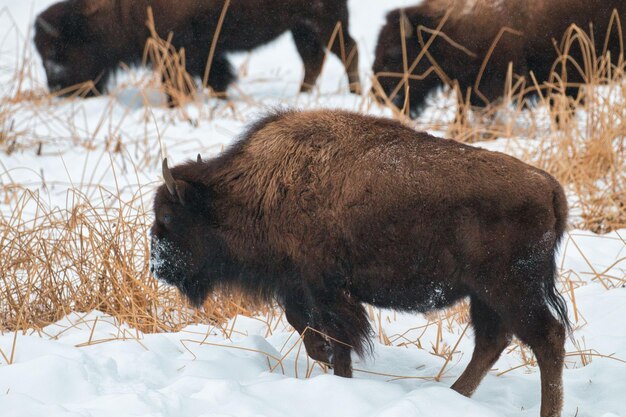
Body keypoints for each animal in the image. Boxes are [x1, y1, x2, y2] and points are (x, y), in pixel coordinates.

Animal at [33, 0, 360, 101]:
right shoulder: (199, 54)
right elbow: (215, 76)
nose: (58, 89)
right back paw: (301, 96)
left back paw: (356, 93)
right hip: (302, 27)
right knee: (314, 59)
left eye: (57, 51)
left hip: (325, 21)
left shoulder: (176, 51)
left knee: (347, 51)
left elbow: (182, 82)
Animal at [152, 109, 572, 416]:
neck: (260, 187)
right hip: (484, 294)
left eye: (169, 216)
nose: (158, 266)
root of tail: (549, 187)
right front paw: (324, 359)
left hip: (509, 289)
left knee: (545, 338)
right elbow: (303, 324)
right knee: (492, 341)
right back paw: (455, 395)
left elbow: (337, 339)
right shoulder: (303, 287)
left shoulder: (326, 290)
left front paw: (335, 372)